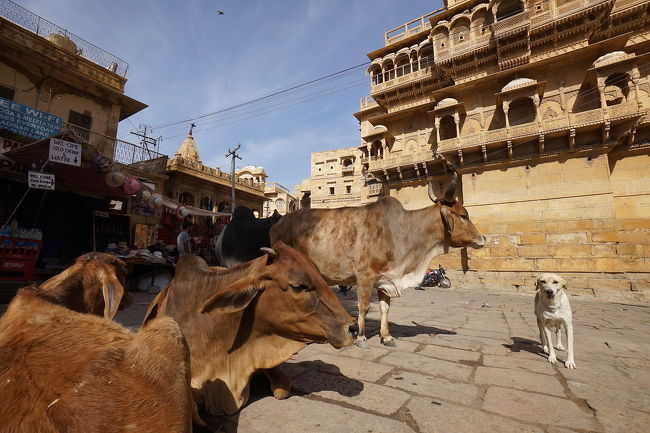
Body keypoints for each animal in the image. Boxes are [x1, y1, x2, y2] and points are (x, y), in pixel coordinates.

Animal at [266, 171, 484, 348]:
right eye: (463, 215)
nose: (482, 238)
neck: (402, 230)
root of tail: (277, 224)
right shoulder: (365, 277)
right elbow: (363, 307)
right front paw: (361, 338)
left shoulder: (385, 280)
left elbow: (385, 308)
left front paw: (386, 337)